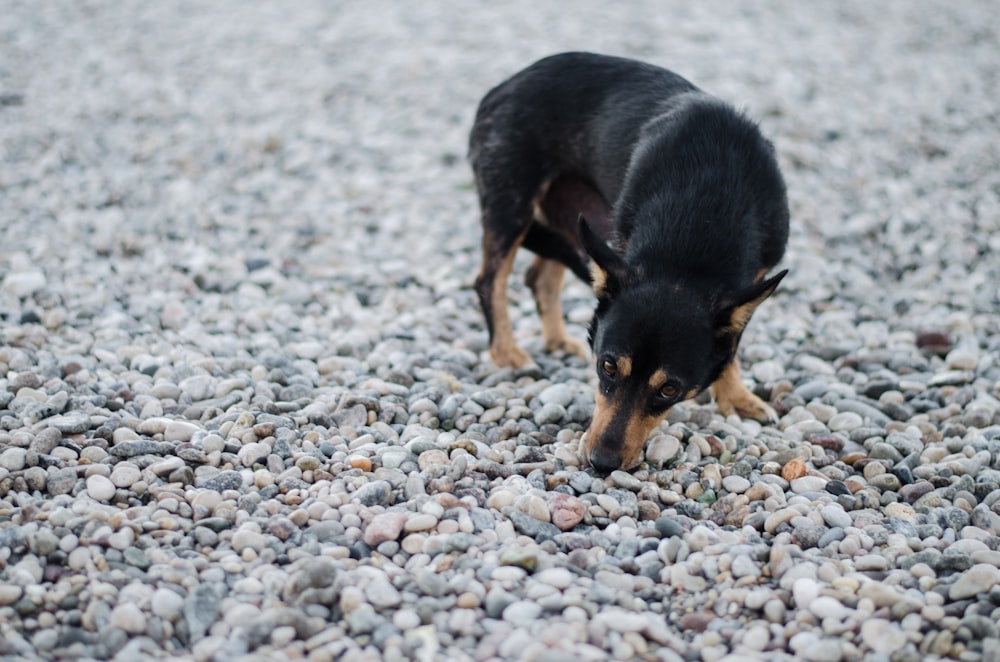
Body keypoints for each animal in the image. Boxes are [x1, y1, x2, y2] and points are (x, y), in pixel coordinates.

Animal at [468, 54, 788, 474]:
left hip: (572, 217)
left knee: (541, 278)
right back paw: (506, 352)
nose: (602, 462)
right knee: (490, 279)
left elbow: (731, 345)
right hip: (512, 204)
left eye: (669, 389)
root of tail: (504, 85)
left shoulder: (752, 279)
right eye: (606, 367)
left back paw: (556, 339)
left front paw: (735, 395)